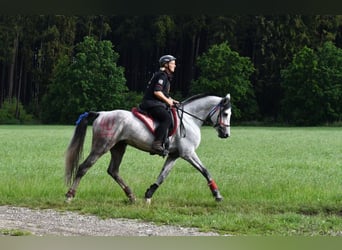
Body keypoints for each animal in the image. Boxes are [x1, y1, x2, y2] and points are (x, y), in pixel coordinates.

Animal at [65, 93, 231, 203]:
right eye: (225, 113)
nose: (226, 134)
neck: (190, 119)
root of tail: (101, 114)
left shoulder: (174, 155)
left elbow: (163, 175)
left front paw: (148, 195)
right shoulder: (188, 153)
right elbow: (205, 171)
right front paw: (217, 195)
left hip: (118, 147)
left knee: (113, 171)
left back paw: (131, 196)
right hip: (102, 146)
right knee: (84, 167)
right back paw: (70, 195)